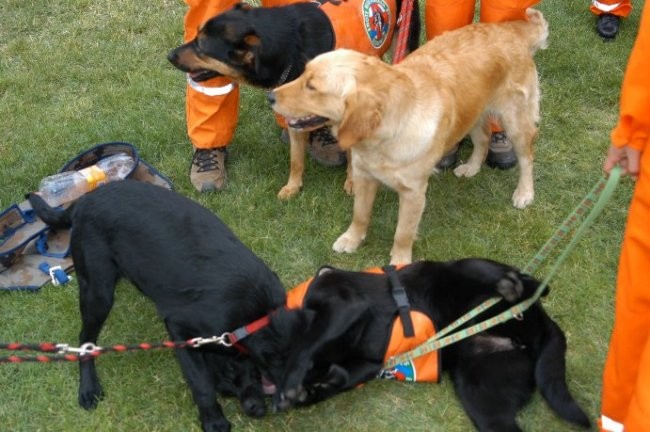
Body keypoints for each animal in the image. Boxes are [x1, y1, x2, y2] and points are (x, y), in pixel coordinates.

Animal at [27, 180, 312, 432]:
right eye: (228, 383)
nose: (257, 410)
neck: (258, 315)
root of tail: (82, 201)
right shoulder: (180, 330)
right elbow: (200, 383)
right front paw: (213, 421)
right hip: (98, 292)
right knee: (84, 340)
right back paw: (88, 388)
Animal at [167, 0, 420, 199]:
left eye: (201, 46)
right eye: (196, 36)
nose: (169, 55)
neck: (293, 47)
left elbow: (352, 155)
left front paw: (352, 182)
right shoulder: (296, 115)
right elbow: (296, 160)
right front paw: (292, 187)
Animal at [268, 8, 548, 264]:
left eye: (312, 86)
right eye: (303, 73)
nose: (270, 96)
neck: (384, 135)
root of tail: (512, 30)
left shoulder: (413, 192)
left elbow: (402, 234)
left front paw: (400, 262)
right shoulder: (364, 175)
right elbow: (360, 215)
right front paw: (351, 240)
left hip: (515, 121)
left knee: (527, 157)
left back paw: (524, 193)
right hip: (473, 111)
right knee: (484, 137)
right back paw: (471, 167)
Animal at [274, 259, 591, 431]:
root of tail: (540, 324)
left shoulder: (344, 303)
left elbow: (307, 343)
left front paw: (290, 381)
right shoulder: (367, 364)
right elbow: (339, 377)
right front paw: (308, 390)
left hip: (467, 269)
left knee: (535, 284)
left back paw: (512, 287)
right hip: (481, 394)